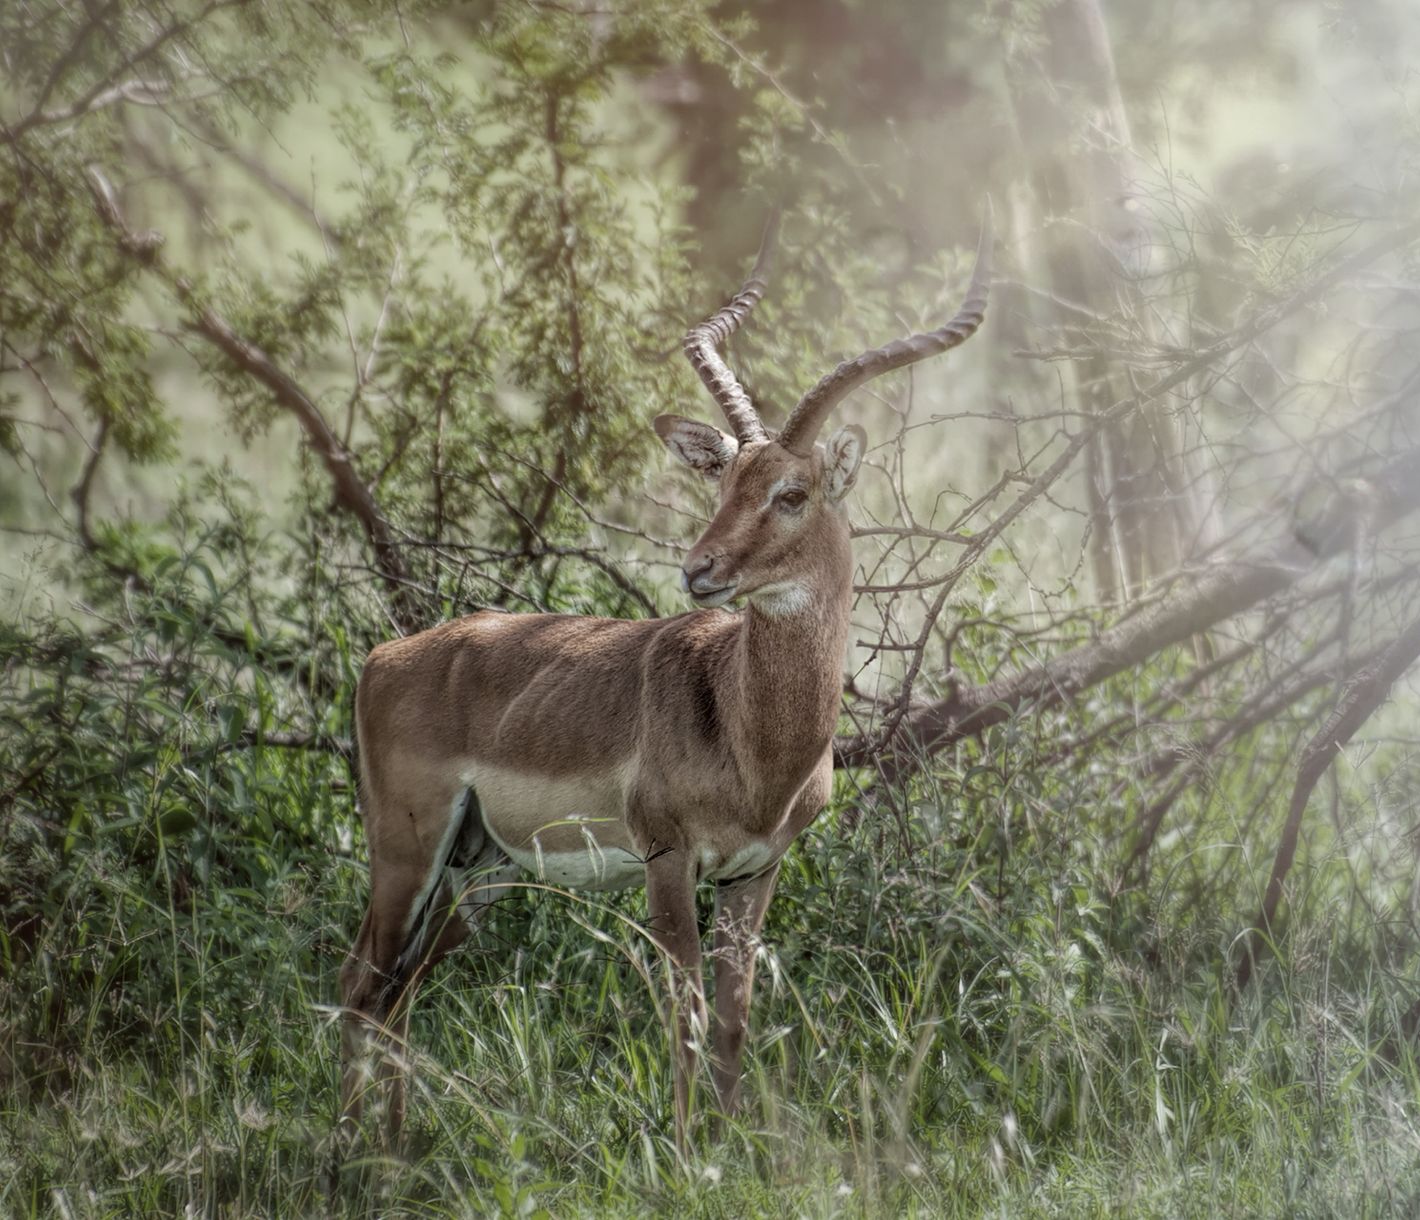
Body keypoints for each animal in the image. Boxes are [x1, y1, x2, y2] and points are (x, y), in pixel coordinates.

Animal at [339, 210, 991, 1148]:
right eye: (722, 479)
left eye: (792, 492)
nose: (699, 570)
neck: (751, 736)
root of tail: (380, 658)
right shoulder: (667, 858)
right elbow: (684, 1014)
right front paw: (686, 1153)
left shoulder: (756, 872)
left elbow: (733, 1019)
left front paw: (731, 1145)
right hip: (407, 851)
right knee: (360, 986)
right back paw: (346, 1153)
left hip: (478, 872)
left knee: (397, 997)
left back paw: (392, 1152)